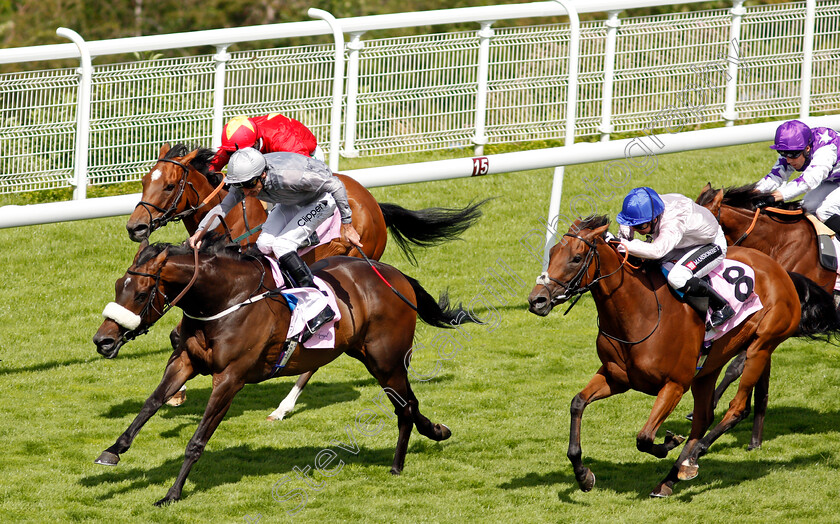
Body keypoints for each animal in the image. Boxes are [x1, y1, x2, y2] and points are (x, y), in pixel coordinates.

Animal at [524, 215, 832, 498]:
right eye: (552, 252)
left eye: (576, 258)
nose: (537, 300)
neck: (640, 313)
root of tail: (781, 271)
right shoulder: (616, 377)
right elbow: (577, 404)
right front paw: (583, 474)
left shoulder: (675, 384)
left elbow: (645, 437)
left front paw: (668, 443)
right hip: (707, 370)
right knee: (703, 417)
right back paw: (671, 478)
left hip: (761, 346)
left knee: (736, 408)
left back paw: (691, 459)